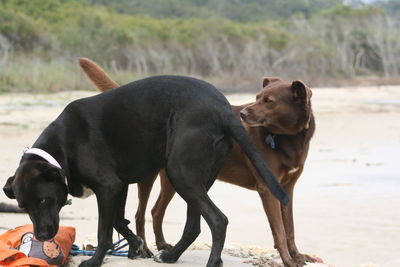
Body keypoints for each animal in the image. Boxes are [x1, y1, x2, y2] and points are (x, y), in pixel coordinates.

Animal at [1, 76, 286, 267]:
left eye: (45, 201)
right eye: (24, 207)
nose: (41, 236)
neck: (61, 146)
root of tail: (223, 109)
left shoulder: (109, 187)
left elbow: (104, 231)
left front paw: (95, 260)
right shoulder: (119, 186)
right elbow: (120, 221)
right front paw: (137, 246)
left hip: (179, 173)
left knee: (218, 220)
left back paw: (211, 261)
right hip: (196, 178)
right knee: (194, 226)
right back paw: (170, 255)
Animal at [78, 57, 316, 266]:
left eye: (269, 101)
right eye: (257, 97)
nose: (243, 114)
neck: (288, 137)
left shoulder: (287, 189)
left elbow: (290, 229)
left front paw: (297, 256)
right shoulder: (268, 189)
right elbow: (279, 230)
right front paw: (288, 260)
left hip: (177, 180)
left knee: (157, 211)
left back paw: (164, 248)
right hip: (158, 177)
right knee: (140, 214)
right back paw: (144, 248)